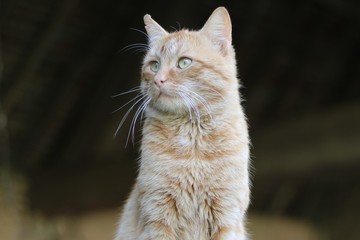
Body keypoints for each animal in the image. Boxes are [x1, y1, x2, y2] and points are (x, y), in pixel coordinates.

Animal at [115, 6, 250, 239]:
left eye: (184, 62)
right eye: (154, 65)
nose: (158, 79)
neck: (192, 142)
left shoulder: (226, 216)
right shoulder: (158, 215)